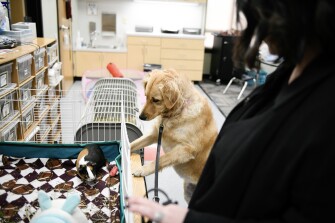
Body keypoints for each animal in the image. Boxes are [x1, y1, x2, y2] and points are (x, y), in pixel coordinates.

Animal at [130, 68, 219, 202]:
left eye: (156, 100)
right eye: (146, 96)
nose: (141, 117)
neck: (179, 111)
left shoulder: (185, 150)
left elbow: (160, 159)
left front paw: (143, 169)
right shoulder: (156, 134)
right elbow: (134, 143)